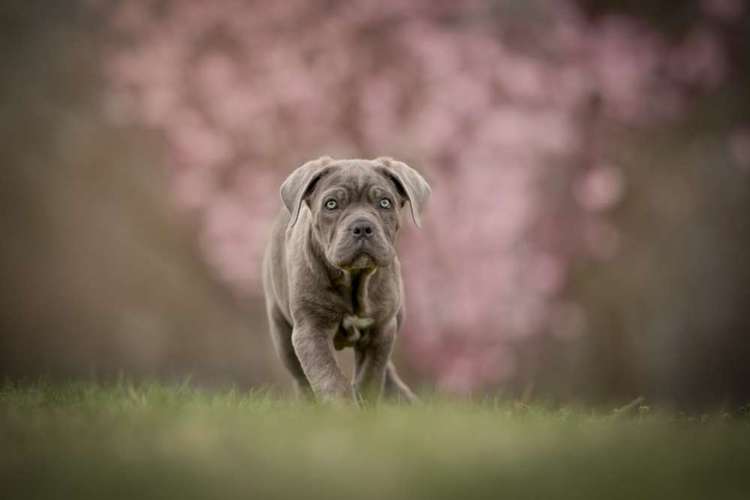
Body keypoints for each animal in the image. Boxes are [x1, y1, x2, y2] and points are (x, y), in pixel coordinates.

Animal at [262, 158, 428, 404]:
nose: (362, 227)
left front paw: (365, 404)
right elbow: (328, 375)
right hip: (280, 330)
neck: (355, 279)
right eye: (331, 204)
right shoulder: (311, 328)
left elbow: (371, 375)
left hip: (398, 317)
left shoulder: (381, 329)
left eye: (385, 203)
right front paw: (343, 407)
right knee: (300, 377)